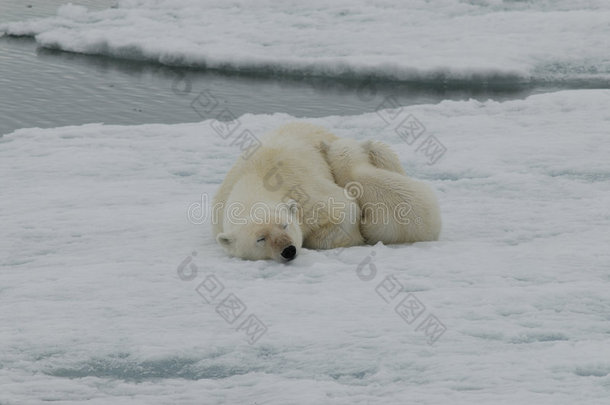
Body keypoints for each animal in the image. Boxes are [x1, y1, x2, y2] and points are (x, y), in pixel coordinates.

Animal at [213, 121, 360, 260]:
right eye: (260, 239)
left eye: (285, 225)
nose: (288, 250)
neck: (254, 180)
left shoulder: (303, 191)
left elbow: (344, 209)